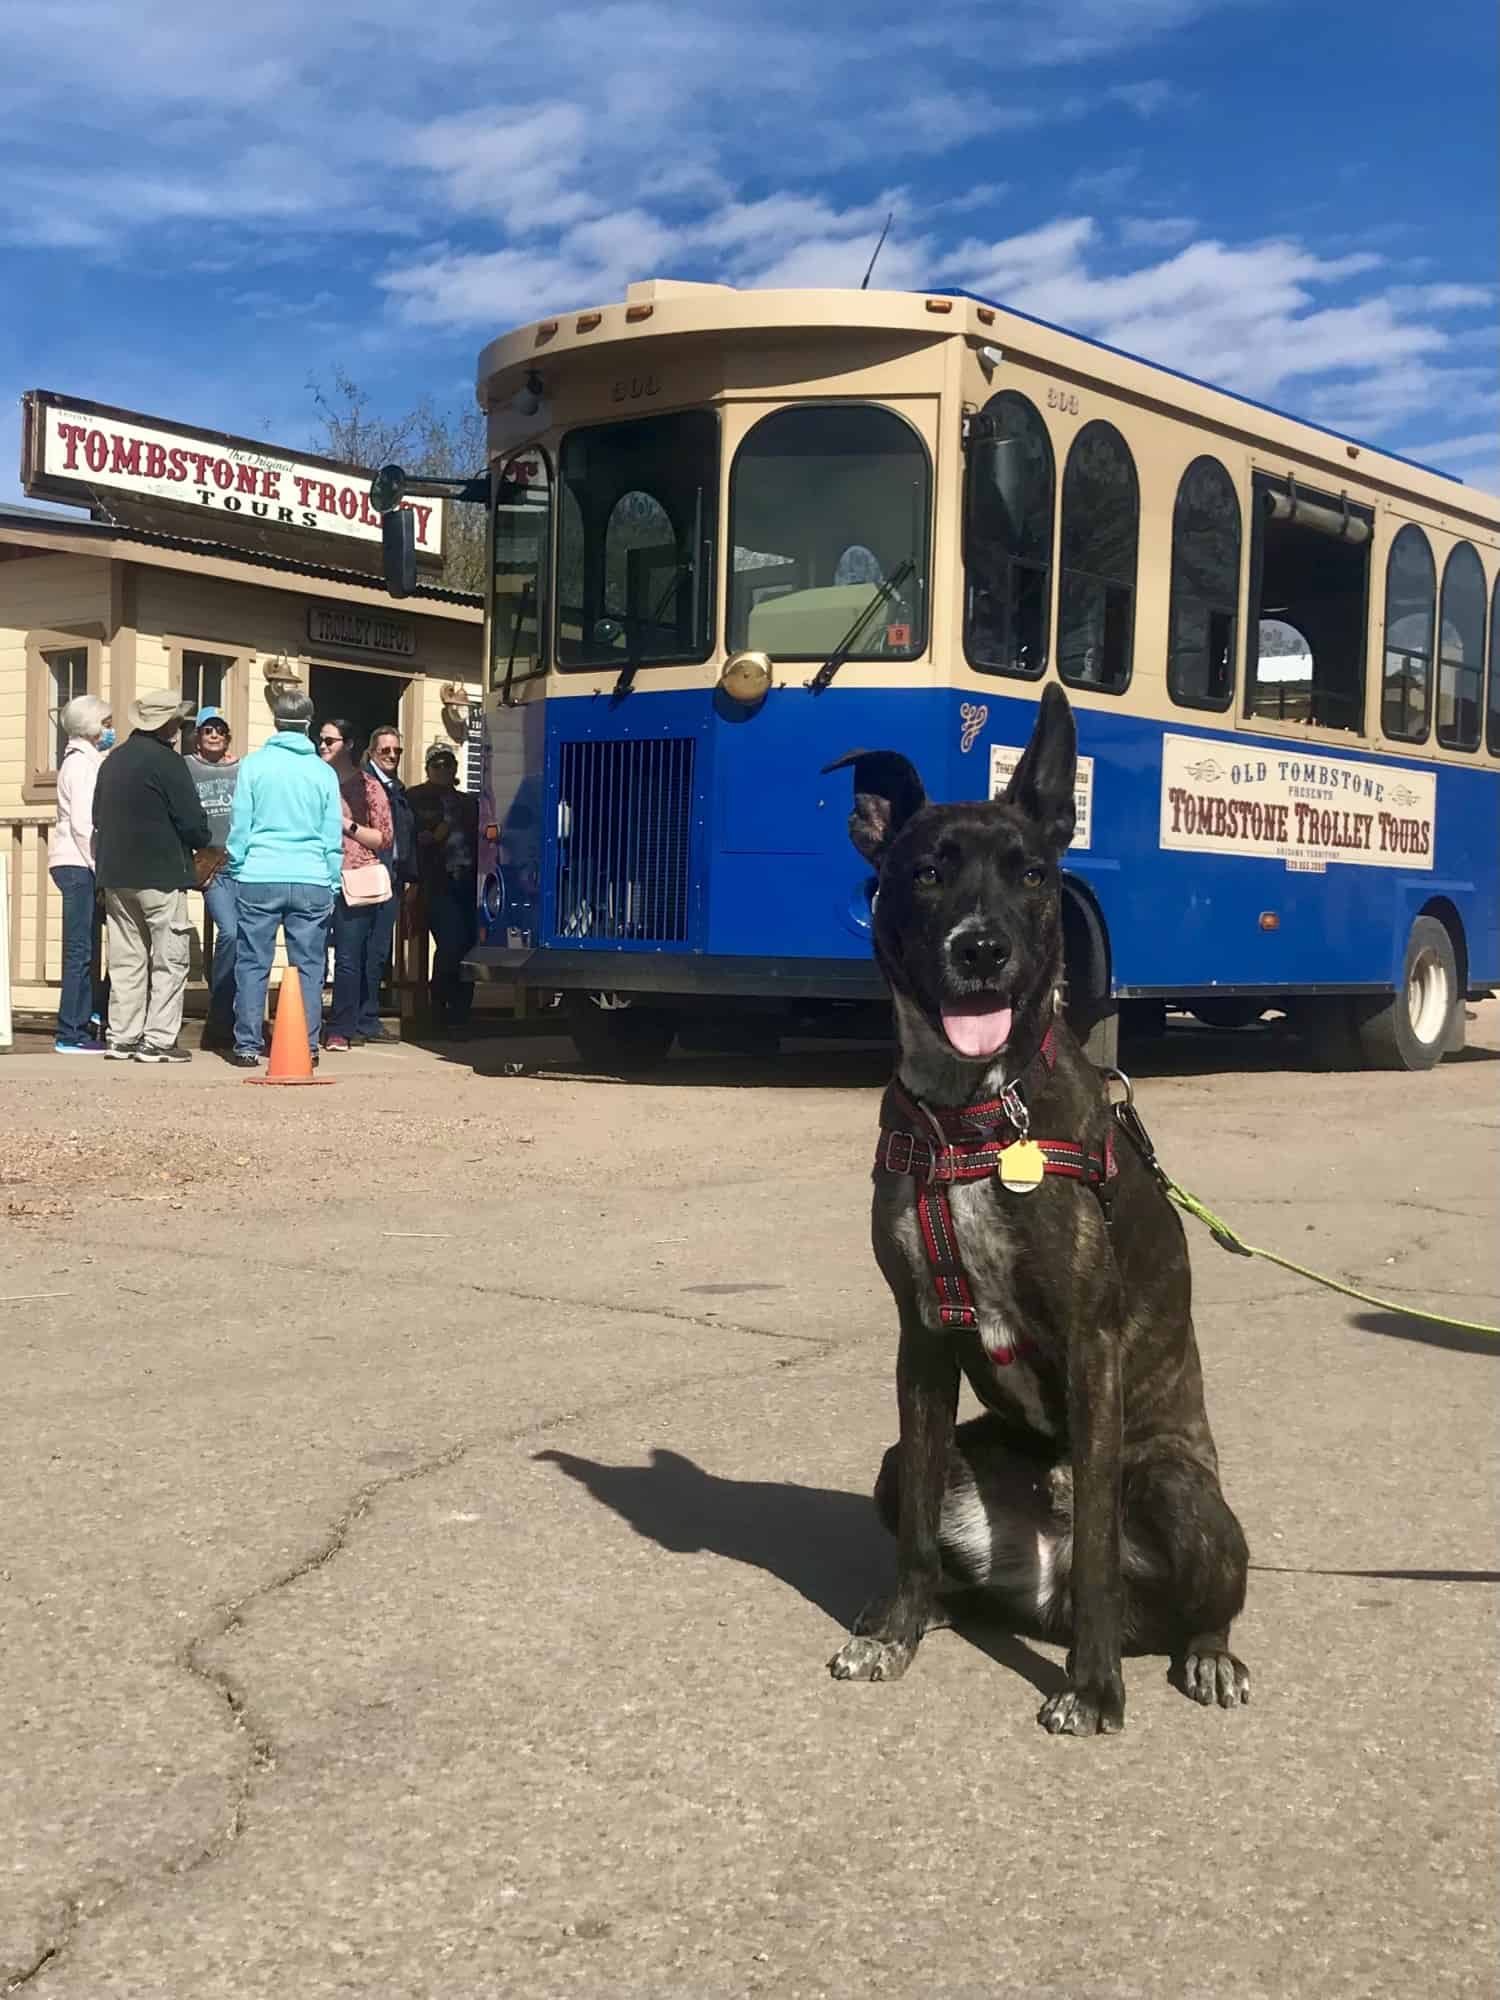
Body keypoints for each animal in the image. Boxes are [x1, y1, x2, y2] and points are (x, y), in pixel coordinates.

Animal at [828, 684, 1248, 1736]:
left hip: (1184, 1493)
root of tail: (1041, 1592)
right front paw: (896, 1631)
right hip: (914, 1466)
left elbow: (1099, 1542)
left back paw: (1205, 1655)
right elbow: (918, 1523)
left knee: (1197, 1594)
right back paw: (934, 1611)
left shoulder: (1092, 1343)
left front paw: (1094, 1689)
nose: (981, 949)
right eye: (927, 873)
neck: (976, 1109)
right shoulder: (923, 1338)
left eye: (1030, 873)